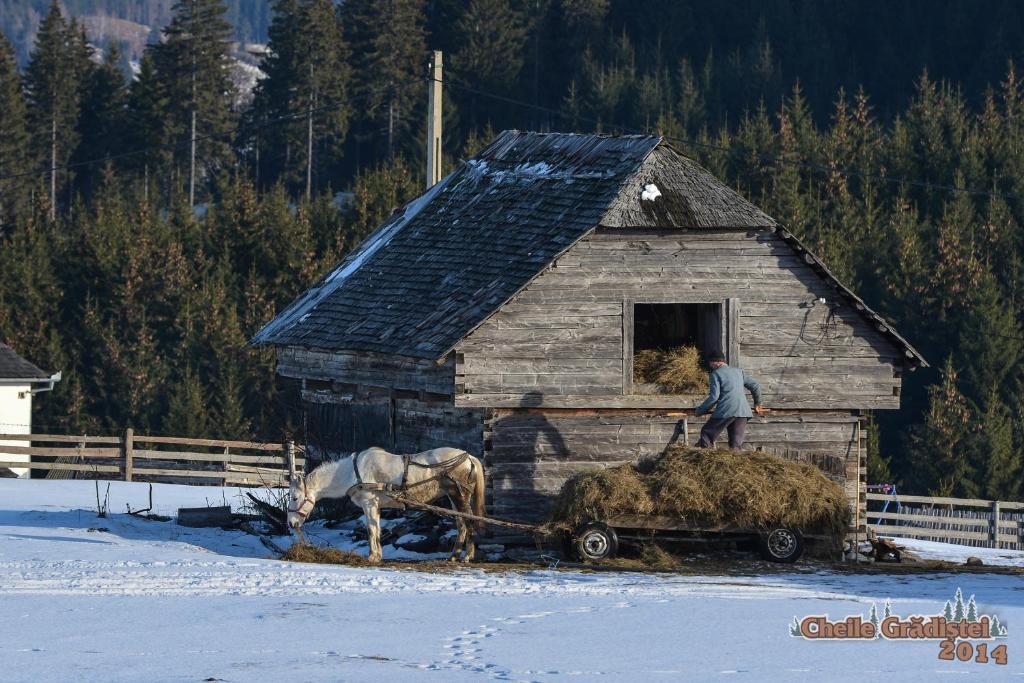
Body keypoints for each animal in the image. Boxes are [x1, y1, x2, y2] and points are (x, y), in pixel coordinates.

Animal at [284, 446, 483, 565]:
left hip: (459, 497)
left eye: (294, 497)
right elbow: (378, 530)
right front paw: (378, 555)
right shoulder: (376, 507)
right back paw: (454, 556)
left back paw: (467, 556)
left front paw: (372, 556)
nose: (291, 524)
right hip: (453, 498)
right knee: (461, 524)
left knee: (469, 522)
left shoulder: (369, 504)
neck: (353, 473)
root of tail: (469, 458)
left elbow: (371, 530)